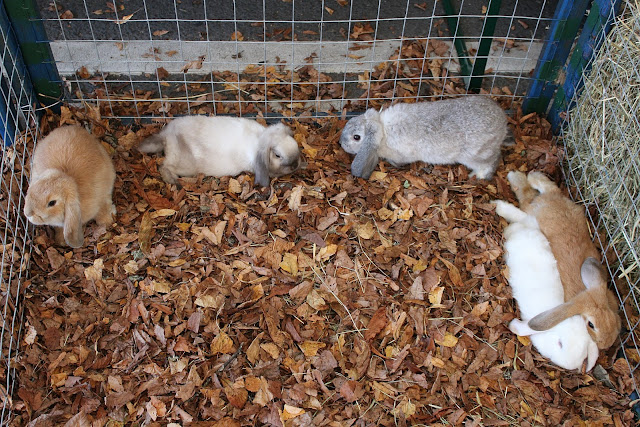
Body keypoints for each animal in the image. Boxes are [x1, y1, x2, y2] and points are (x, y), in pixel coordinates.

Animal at [138, 116, 301, 187]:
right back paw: (174, 182)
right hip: (182, 164)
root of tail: (166, 135)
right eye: (277, 155)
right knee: (164, 166)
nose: (295, 165)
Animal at [340, 96, 508, 179]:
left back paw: (480, 176)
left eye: (356, 137)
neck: (383, 130)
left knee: (491, 161)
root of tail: (503, 123)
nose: (341, 143)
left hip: (477, 154)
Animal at [506, 170, 621, 349]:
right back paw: (518, 177)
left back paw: (531, 176)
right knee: (526, 196)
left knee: (547, 188)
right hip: (532, 211)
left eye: (612, 319)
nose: (606, 343)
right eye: (591, 325)